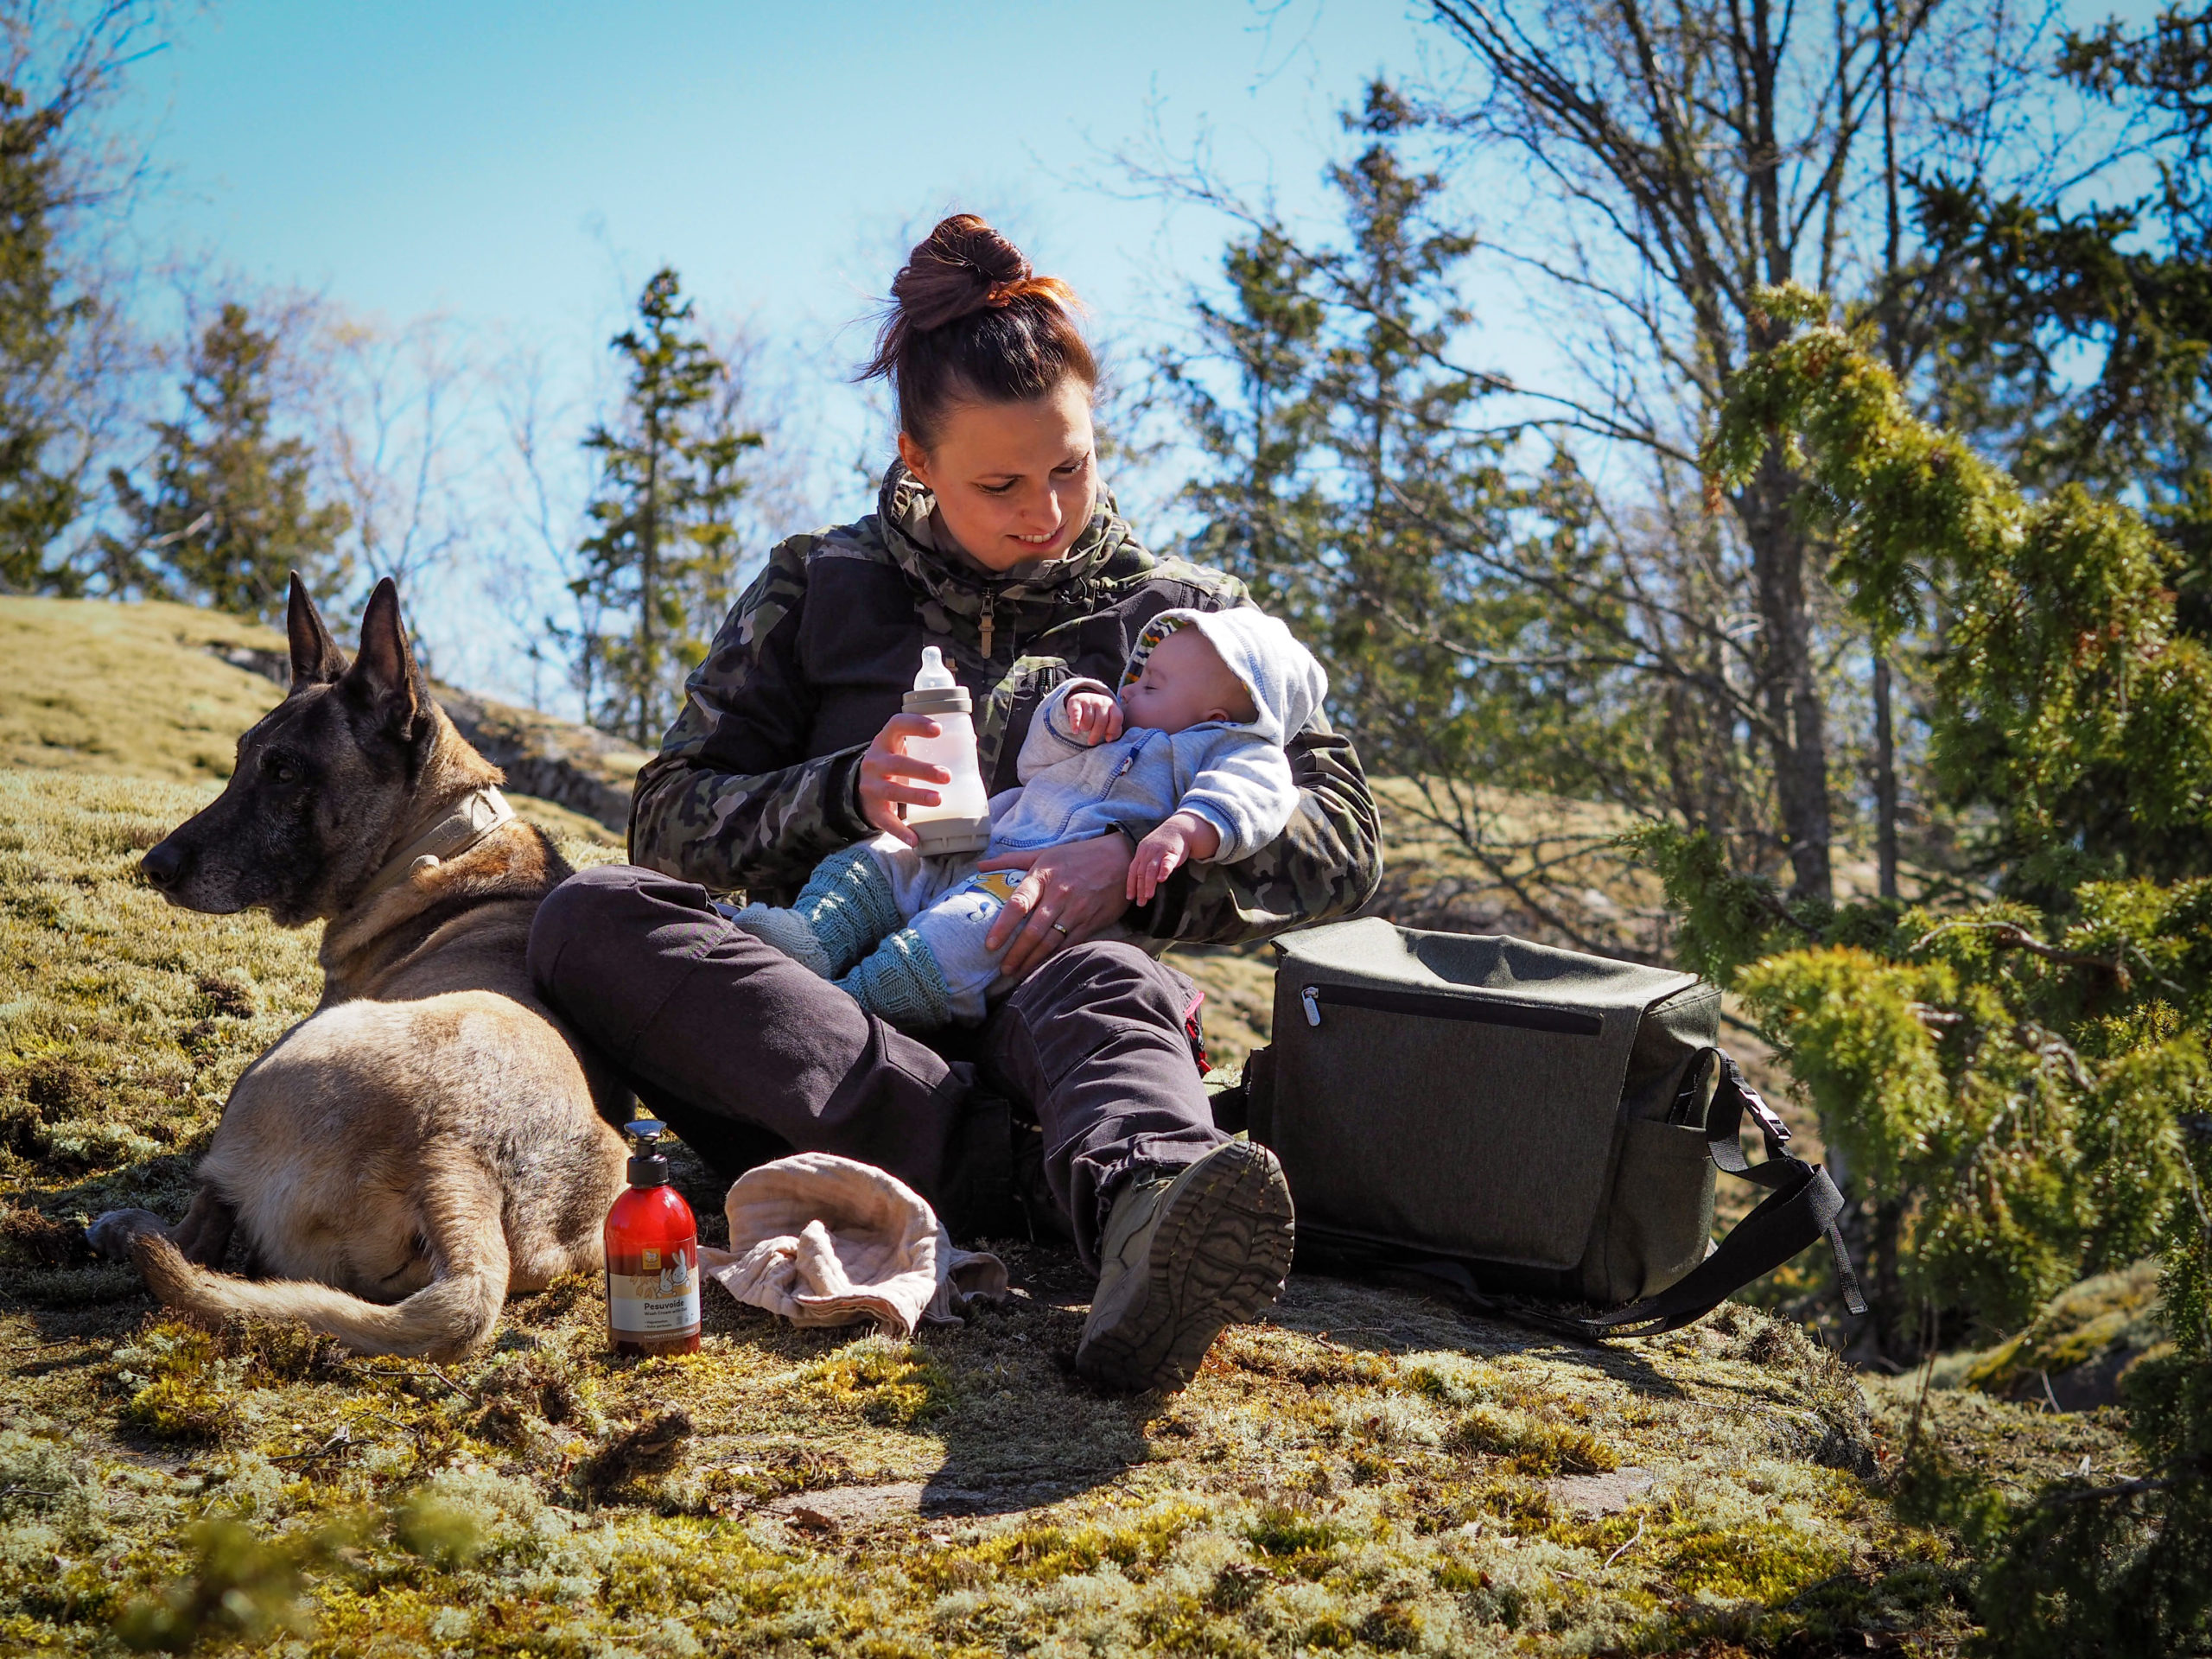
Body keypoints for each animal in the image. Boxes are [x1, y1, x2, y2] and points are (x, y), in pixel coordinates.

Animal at [89, 579, 632, 1353]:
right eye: (241, 756)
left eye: (283, 770)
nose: (154, 868)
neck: (440, 840)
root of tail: (458, 1164)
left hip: (264, 1076)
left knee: (199, 1233)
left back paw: (131, 1231)